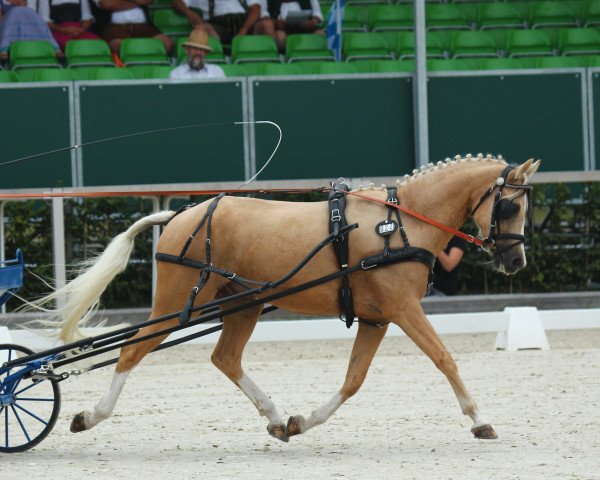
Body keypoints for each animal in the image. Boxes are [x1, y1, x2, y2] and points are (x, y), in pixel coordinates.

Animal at [39, 157, 540, 442]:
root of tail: (182, 214)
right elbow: (444, 358)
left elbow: (354, 380)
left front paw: (303, 422)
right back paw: (90, 416)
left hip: (241, 304)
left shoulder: (376, 319)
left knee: (225, 358)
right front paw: (479, 420)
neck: (399, 224)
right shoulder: (403, 309)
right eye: (510, 206)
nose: (515, 260)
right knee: (132, 350)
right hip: (175, 305)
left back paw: (276, 417)